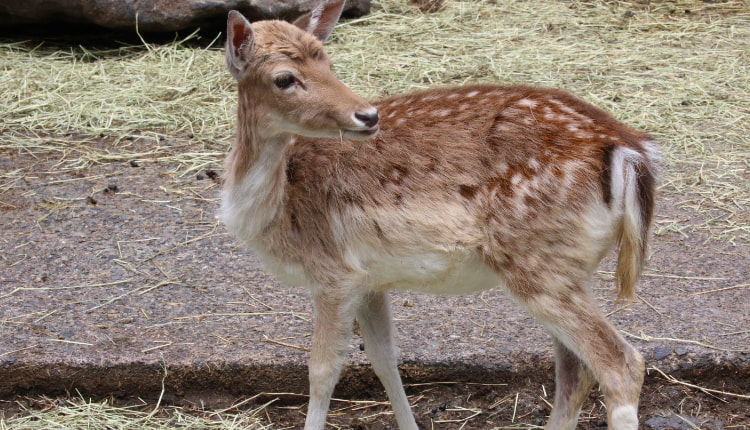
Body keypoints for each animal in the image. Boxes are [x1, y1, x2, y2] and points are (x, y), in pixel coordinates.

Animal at [220, 1, 660, 428]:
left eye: (327, 62)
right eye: (284, 78)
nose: (368, 115)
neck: (275, 207)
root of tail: (630, 150)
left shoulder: (332, 272)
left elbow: (322, 371)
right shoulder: (369, 280)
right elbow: (384, 359)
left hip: (538, 263)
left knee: (620, 363)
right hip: (568, 268)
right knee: (574, 369)